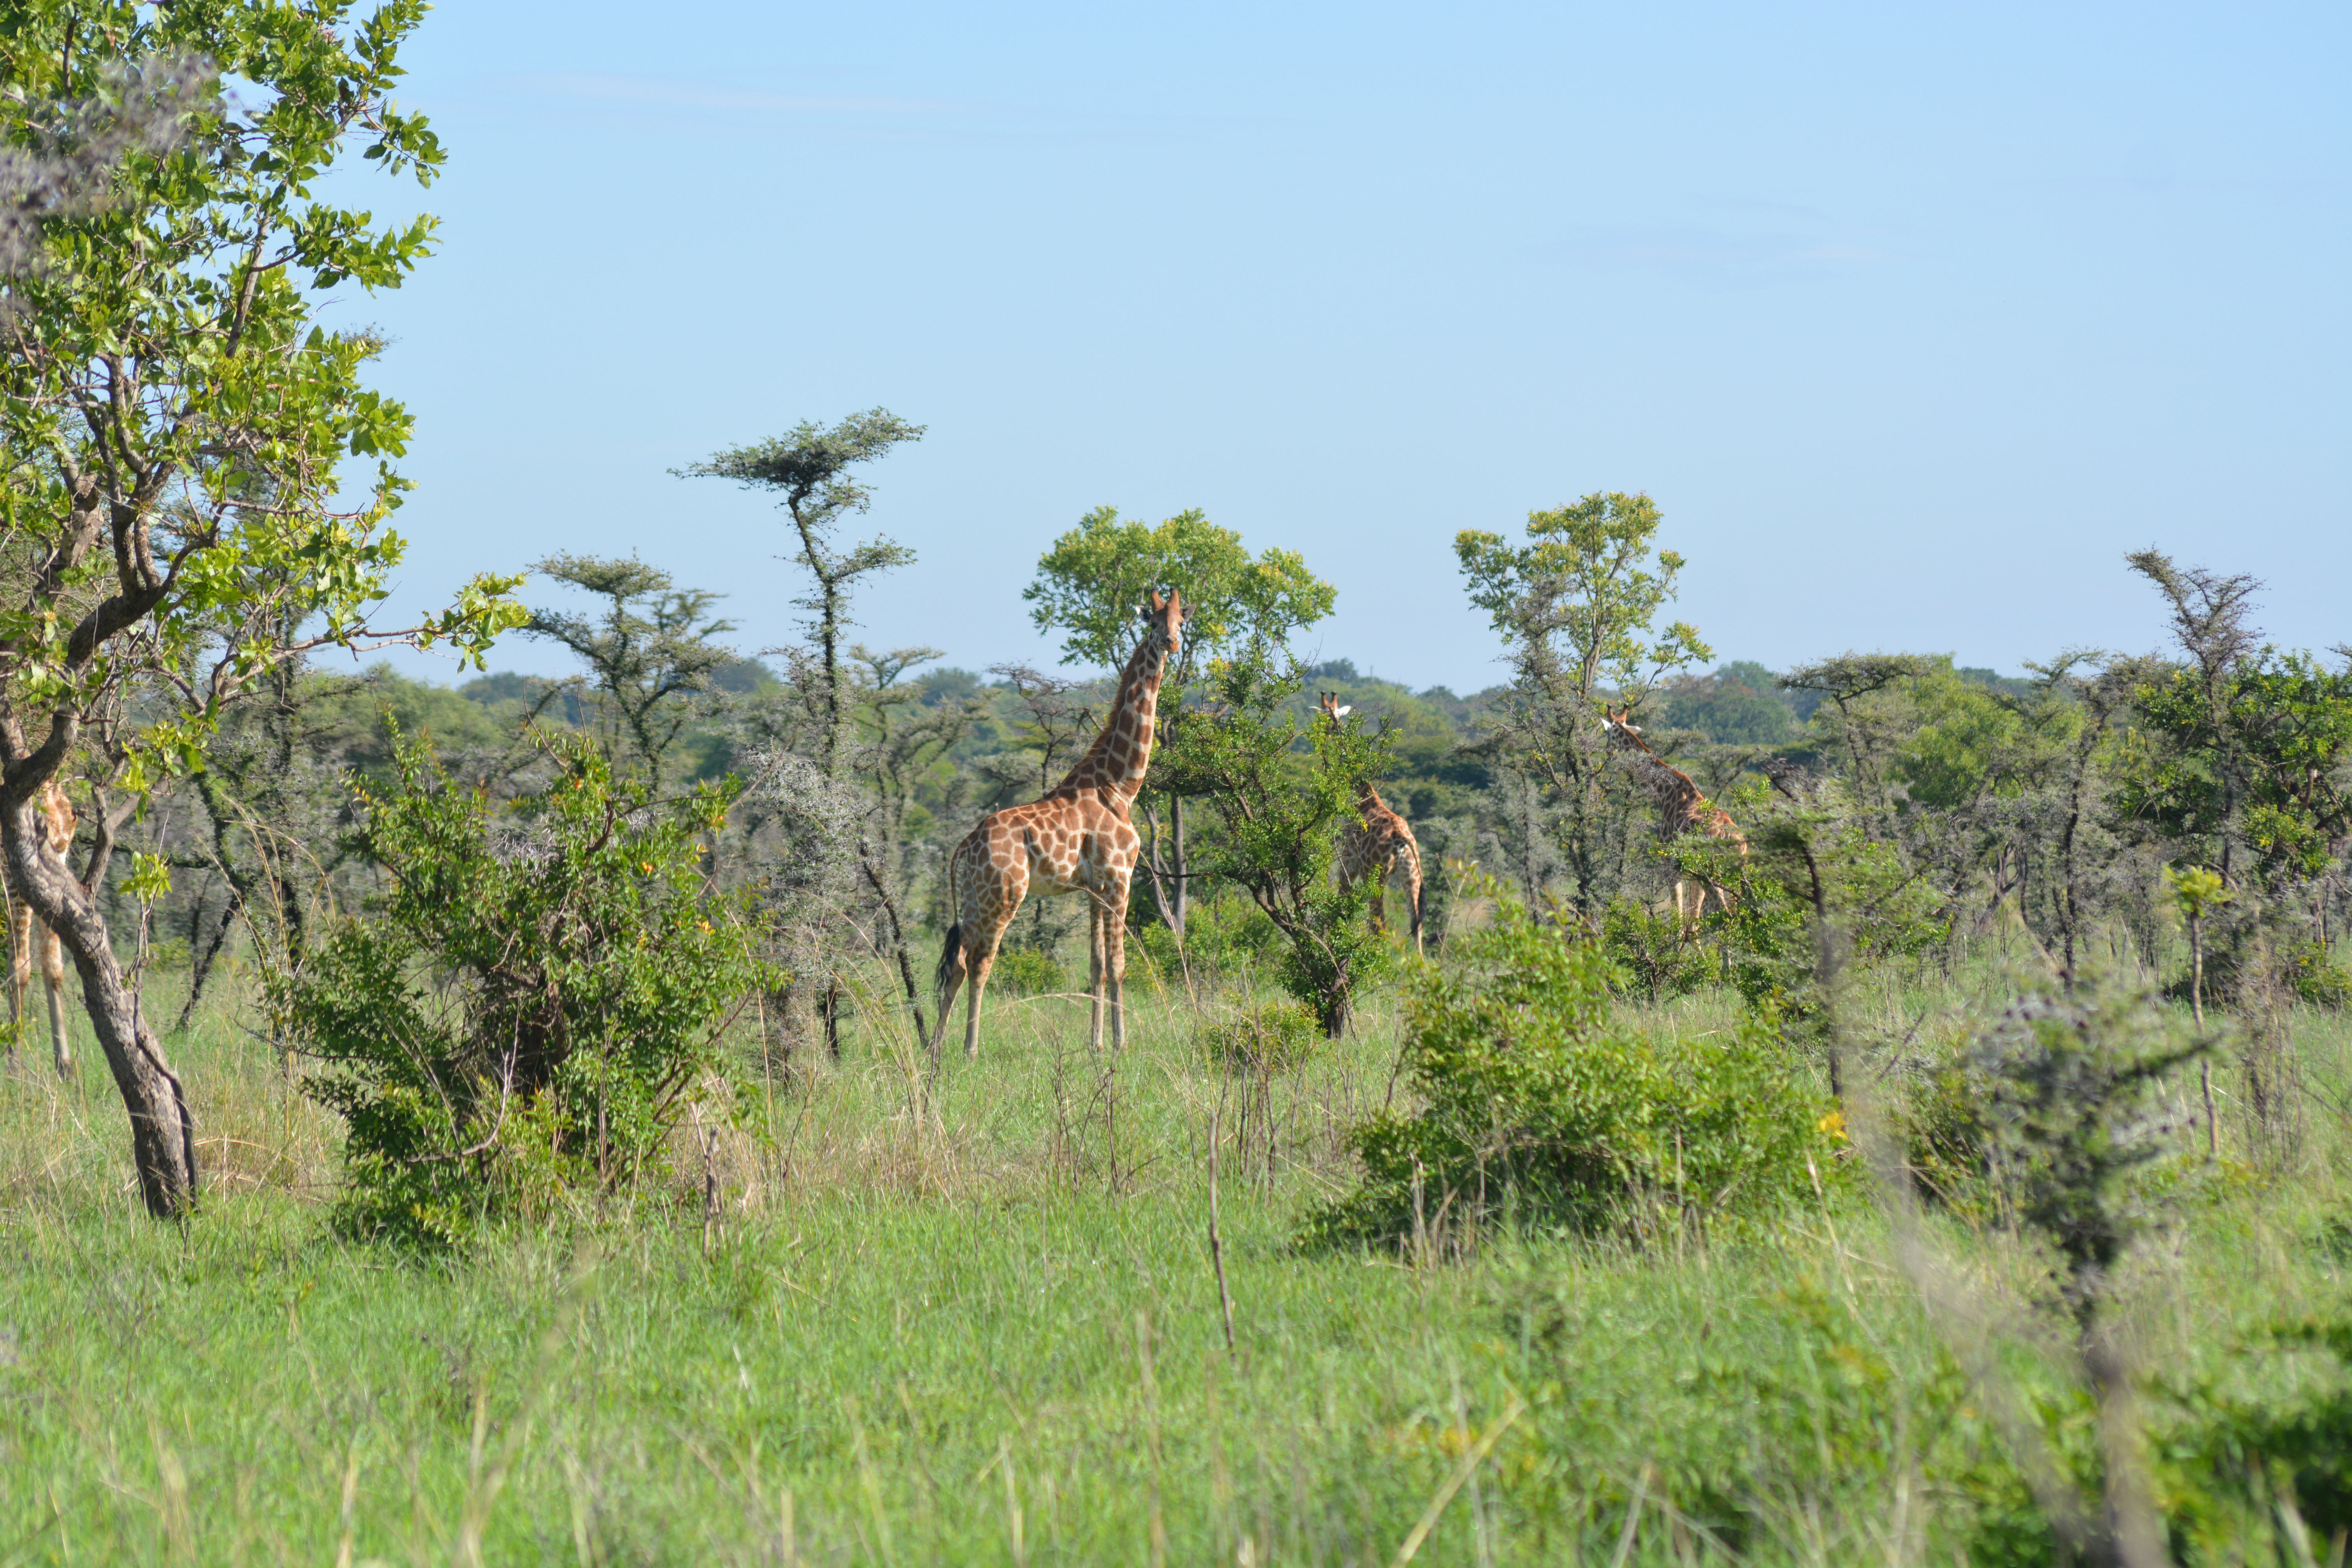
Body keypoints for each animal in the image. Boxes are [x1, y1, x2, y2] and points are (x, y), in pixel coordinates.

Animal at [930, 588, 1188, 1059]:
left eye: (1182, 621)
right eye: (1153, 623)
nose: (1172, 644)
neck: (1121, 785)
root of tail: (964, 846)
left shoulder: (1093, 888)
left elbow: (1096, 965)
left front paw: (1096, 1043)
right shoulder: (1119, 877)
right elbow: (1119, 965)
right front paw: (1120, 1044)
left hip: (974, 898)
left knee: (956, 964)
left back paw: (936, 1050)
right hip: (1005, 895)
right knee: (980, 962)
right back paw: (970, 1049)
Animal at [1317, 693, 1425, 955]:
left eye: (1322, 717)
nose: (1323, 735)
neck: (1364, 800)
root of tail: (1401, 840)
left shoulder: (1349, 862)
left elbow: (1341, 906)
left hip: (1375, 876)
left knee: (1379, 926)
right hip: (1412, 877)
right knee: (1416, 926)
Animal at [1598, 705, 1746, 932]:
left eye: (1607, 734)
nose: (1606, 751)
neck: (1665, 793)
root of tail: (1736, 841)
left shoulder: (1669, 866)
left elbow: (1679, 919)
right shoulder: (1693, 877)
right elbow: (1693, 924)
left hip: (1713, 876)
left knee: (1727, 918)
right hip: (1733, 878)